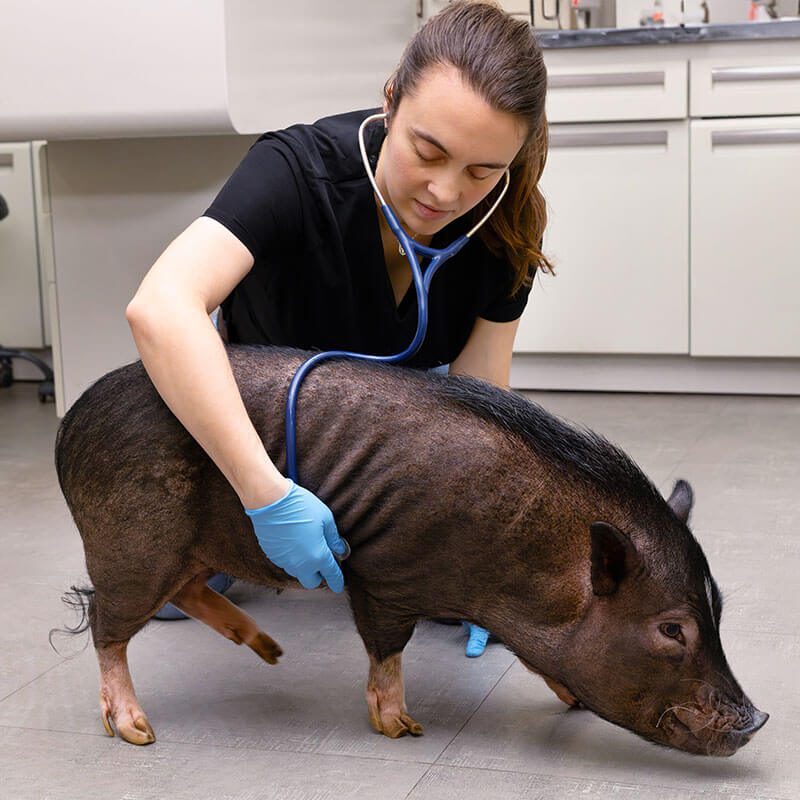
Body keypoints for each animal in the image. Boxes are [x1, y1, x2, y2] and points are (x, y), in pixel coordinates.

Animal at [56, 346, 768, 756]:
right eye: (672, 630)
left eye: (718, 614)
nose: (758, 719)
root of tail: (69, 424)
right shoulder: (383, 576)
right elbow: (387, 649)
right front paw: (404, 728)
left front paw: (567, 699)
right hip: (131, 543)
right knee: (108, 625)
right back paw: (138, 731)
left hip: (189, 547)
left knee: (181, 590)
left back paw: (267, 650)